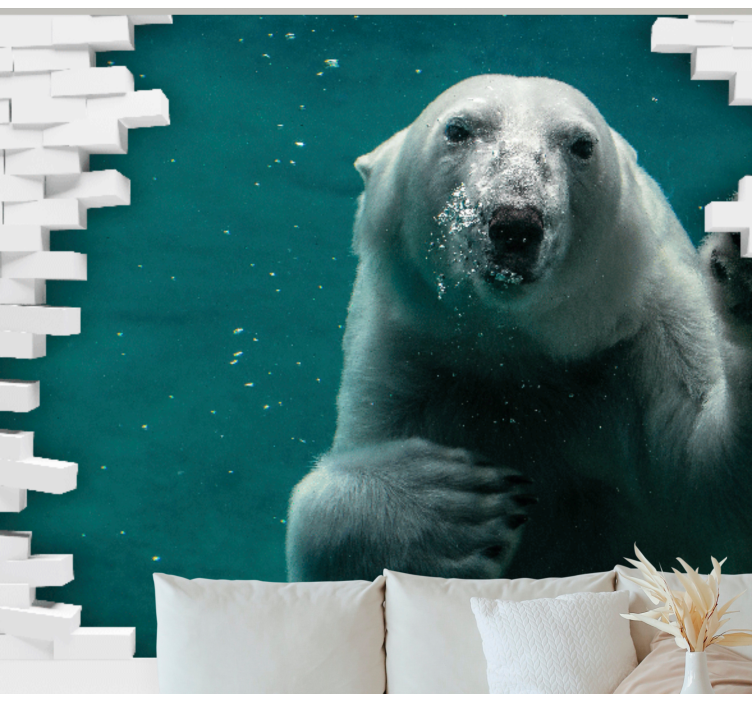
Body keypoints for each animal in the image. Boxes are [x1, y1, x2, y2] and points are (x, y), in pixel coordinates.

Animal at [285, 75, 752, 583]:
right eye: (458, 129)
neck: (520, 352)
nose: (515, 223)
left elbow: (704, 477)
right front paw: (454, 507)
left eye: (582, 144)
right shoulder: (410, 354)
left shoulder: (646, 331)